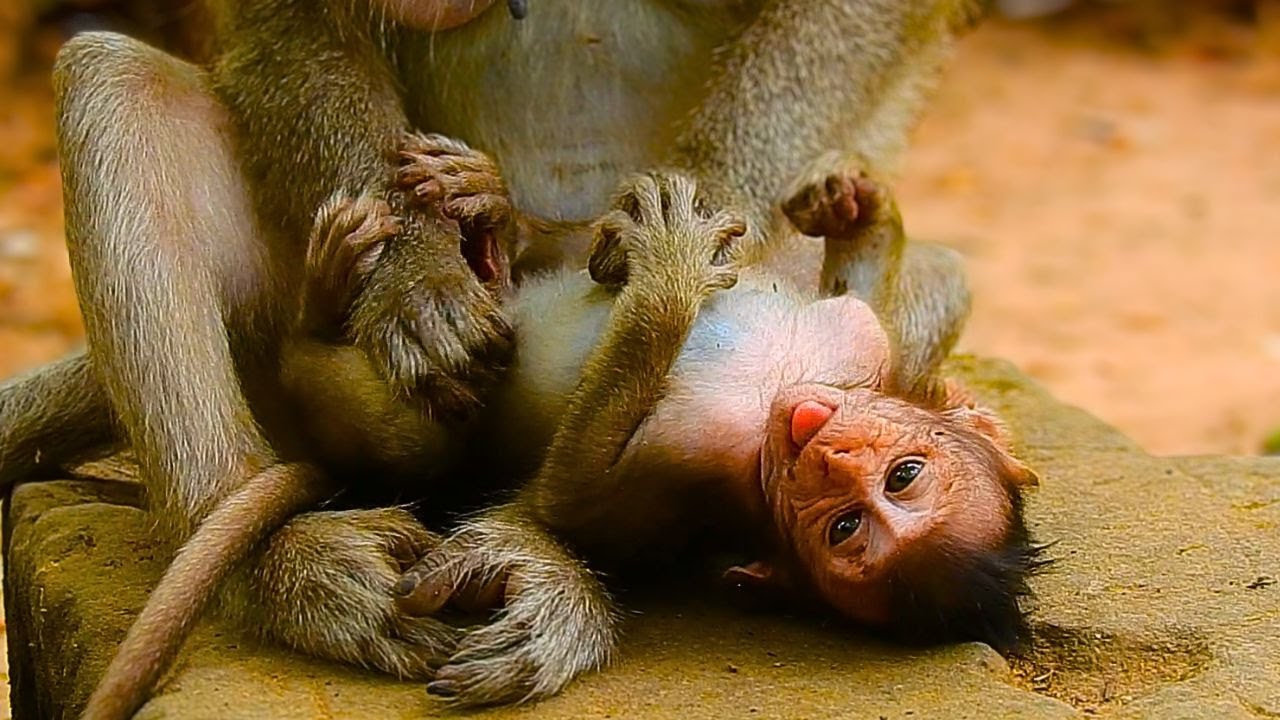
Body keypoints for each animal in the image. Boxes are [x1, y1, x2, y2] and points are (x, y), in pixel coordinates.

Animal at [0, 0, 990, 709]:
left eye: (864, 514)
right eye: (892, 479)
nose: (828, 440)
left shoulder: (726, 451)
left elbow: (580, 485)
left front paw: (697, 243)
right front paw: (415, 276)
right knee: (116, 84)